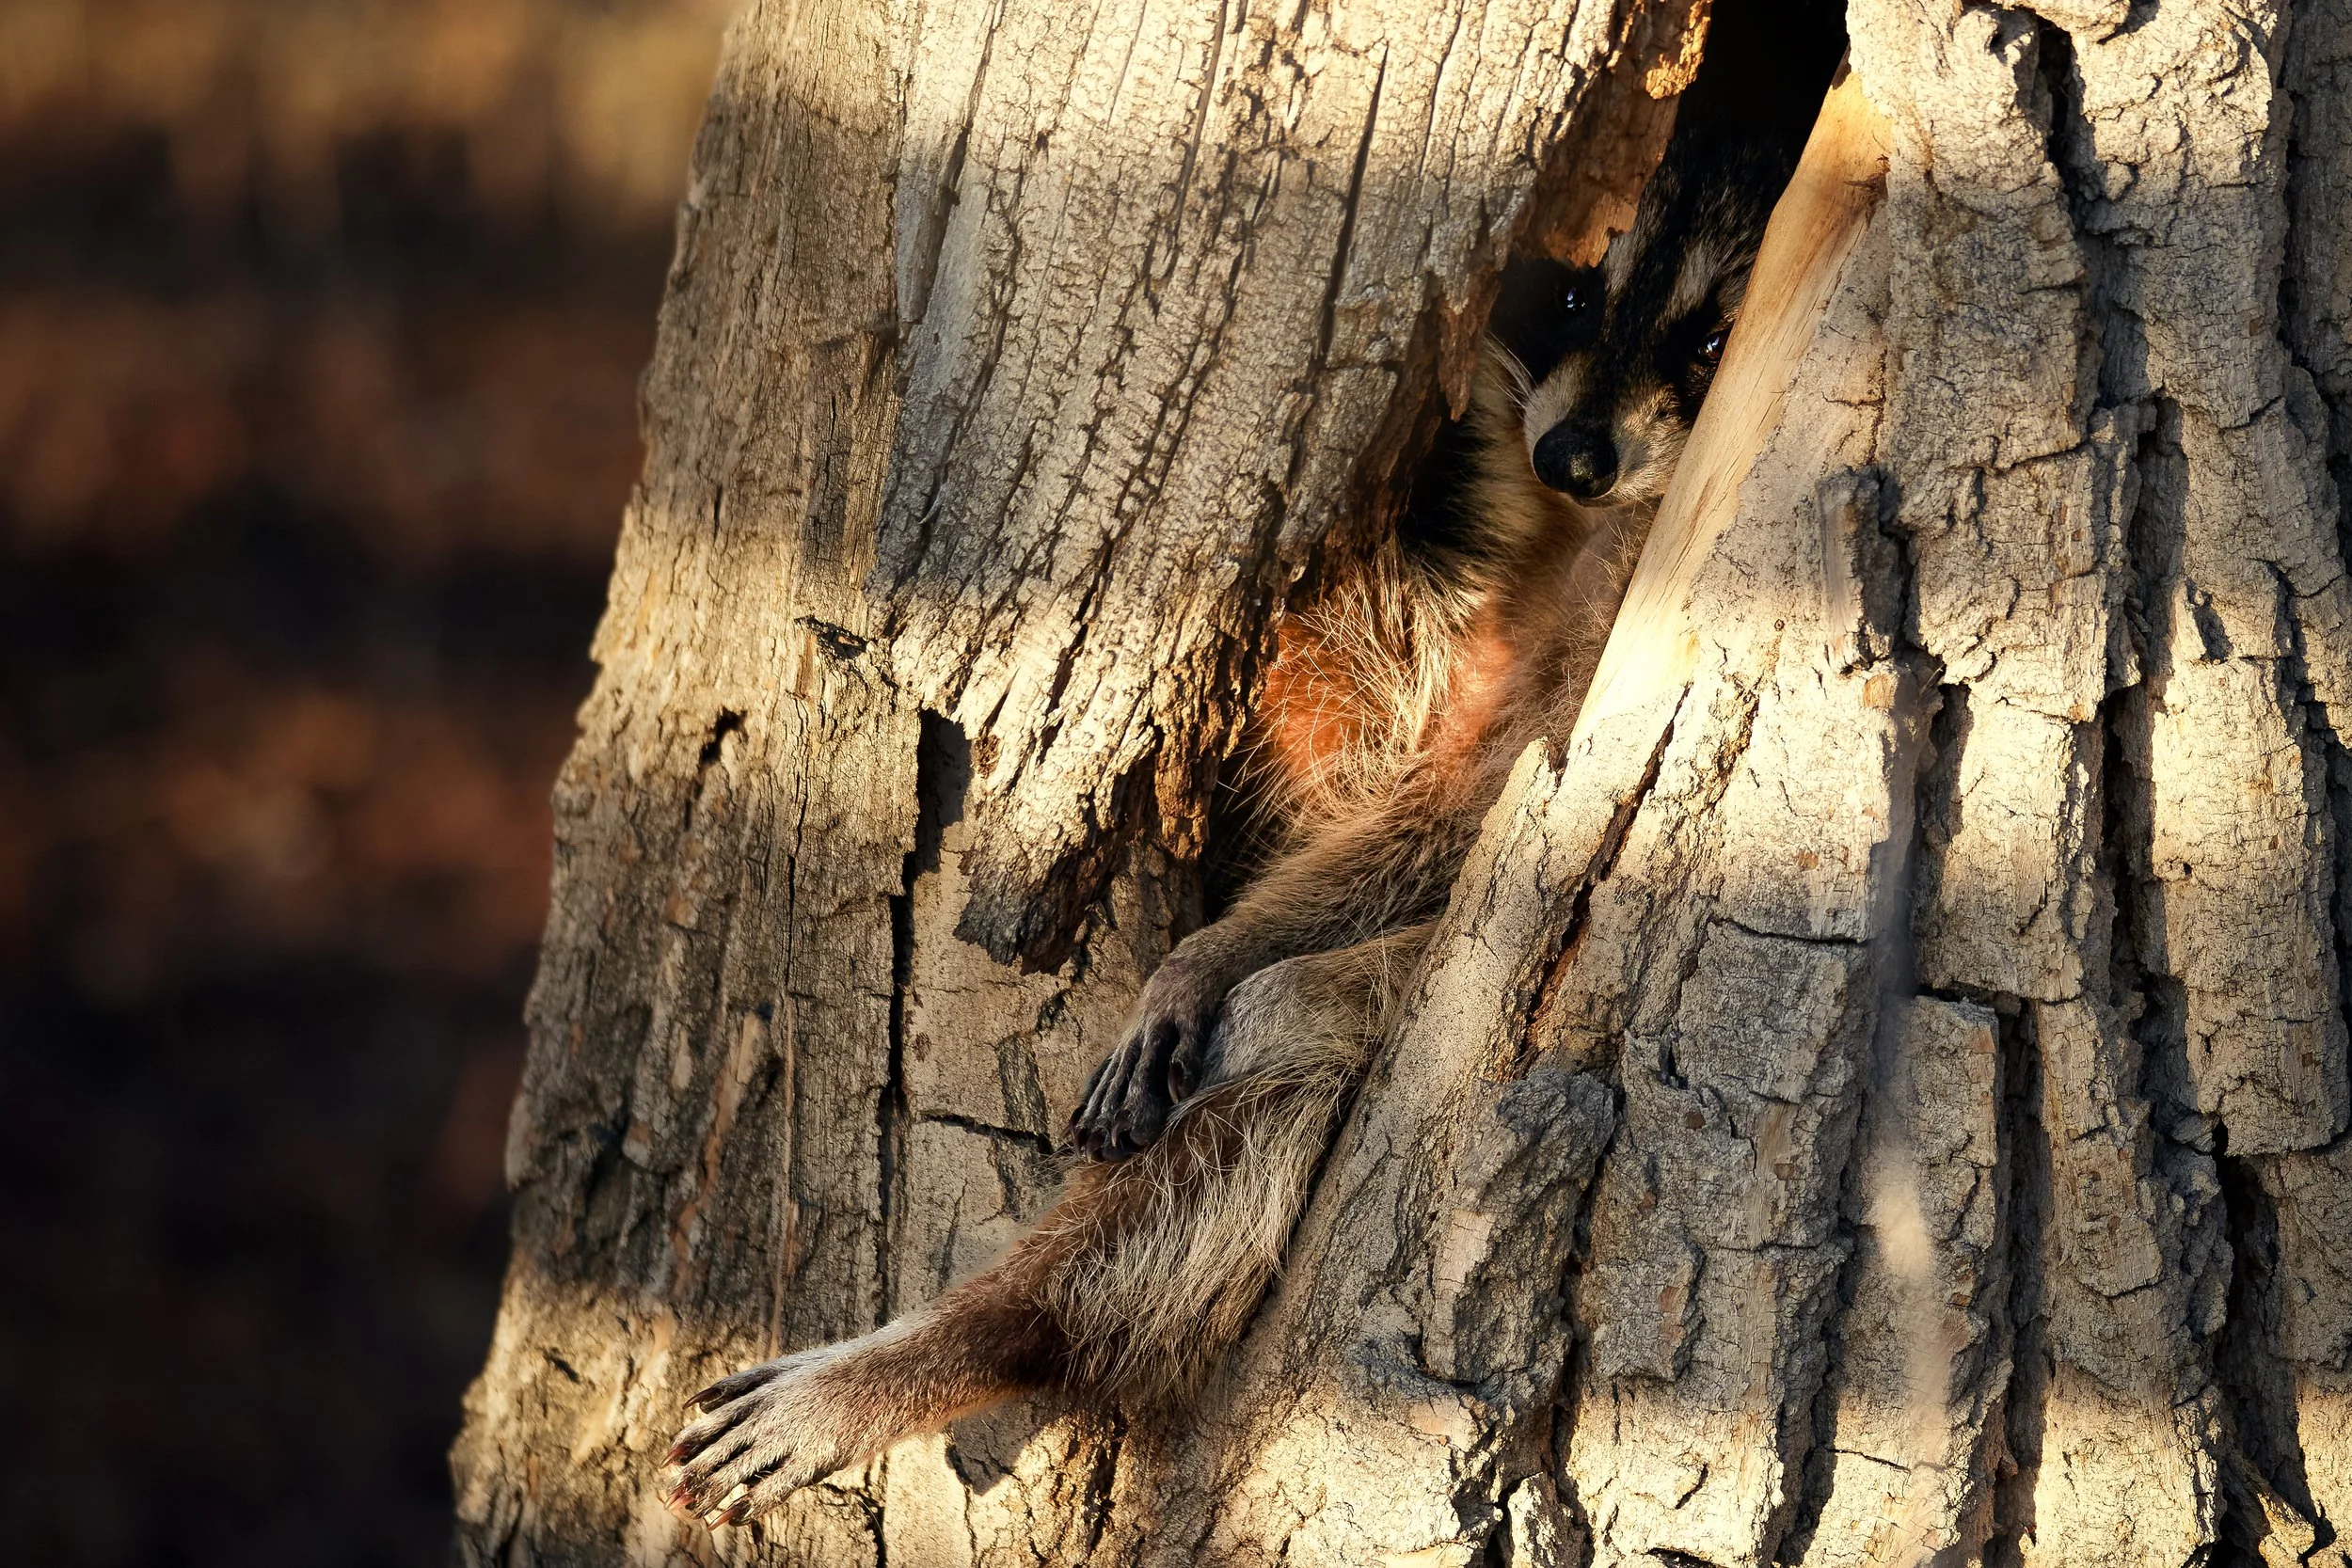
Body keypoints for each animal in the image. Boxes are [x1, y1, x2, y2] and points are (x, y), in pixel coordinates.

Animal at [664, 121, 1797, 1530]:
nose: (1571, 454)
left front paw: (1207, 952)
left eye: (1714, 339)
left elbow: (1455, 812)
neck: (1601, 518)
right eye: (1588, 295)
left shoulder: (1617, 618)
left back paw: (983, 1334)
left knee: (1262, 1072)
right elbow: (1395, 743)